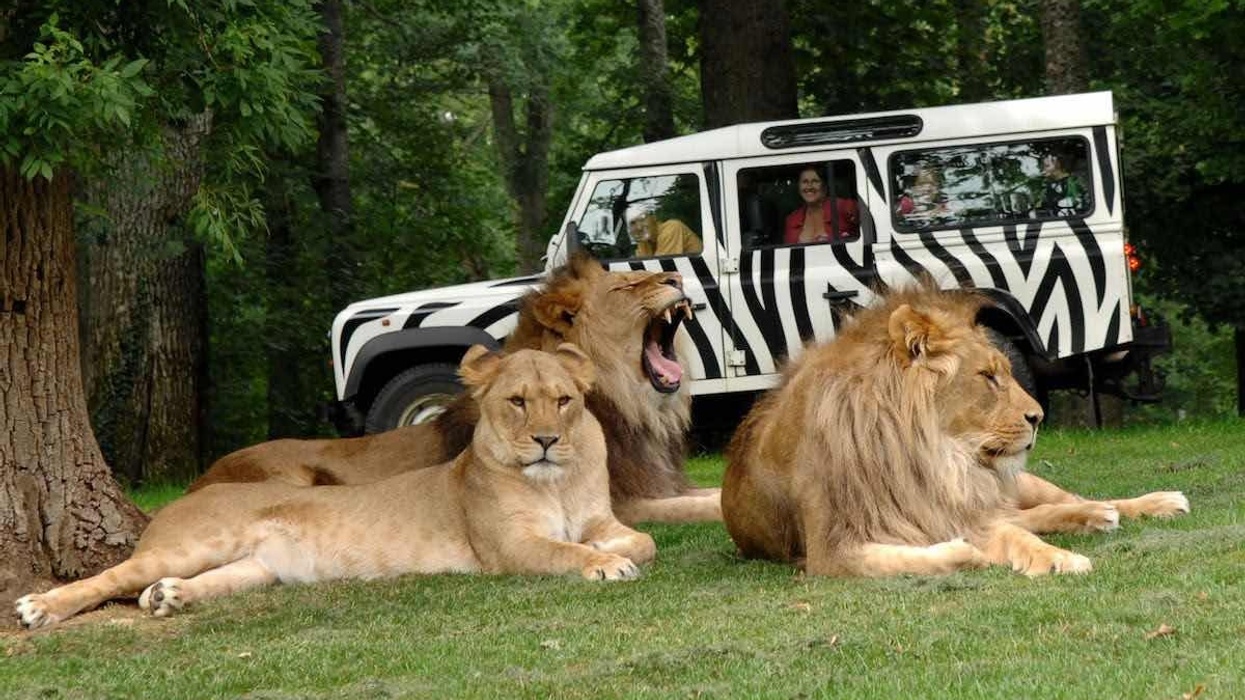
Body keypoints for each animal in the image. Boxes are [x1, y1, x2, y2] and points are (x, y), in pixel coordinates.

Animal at [15, 345, 656, 628]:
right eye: (517, 402)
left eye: (564, 400)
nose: (547, 440)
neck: (556, 483)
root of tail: (191, 493)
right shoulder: (507, 548)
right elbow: (562, 551)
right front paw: (602, 564)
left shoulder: (601, 517)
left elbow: (641, 540)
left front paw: (614, 550)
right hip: (195, 543)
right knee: (108, 578)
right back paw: (38, 608)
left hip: (256, 569)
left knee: (189, 584)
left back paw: (168, 598)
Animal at [188, 255, 717, 524]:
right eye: (626, 286)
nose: (677, 275)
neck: (640, 408)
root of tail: (198, 479)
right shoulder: (623, 503)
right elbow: (706, 507)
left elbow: (711, 492)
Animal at [721, 284, 1185, 577]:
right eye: (988, 376)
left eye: (1006, 371)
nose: (1037, 417)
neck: (927, 457)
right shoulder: (829, 551)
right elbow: (912, 558)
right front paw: (968, 553)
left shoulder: (952, 505)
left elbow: (1018, 535)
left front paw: (1059, 559)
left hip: (1018, 482)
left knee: (1061, 502)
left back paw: (1144, 504)